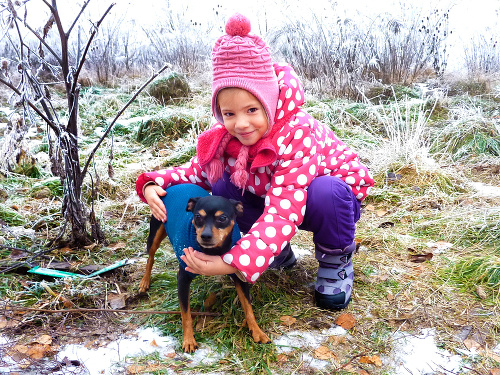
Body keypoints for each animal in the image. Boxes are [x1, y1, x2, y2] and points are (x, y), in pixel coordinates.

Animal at [139, 195, 272, 354]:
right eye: (197, 216)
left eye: (222, 218)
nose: (205, 236)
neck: (212, 251)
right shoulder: (182, 279)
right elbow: (185, 314)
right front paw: (189, 340)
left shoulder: (239, 274)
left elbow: (248, 307)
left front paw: (257, 332)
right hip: (155, 232)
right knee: (150, 257)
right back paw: (144, 282)